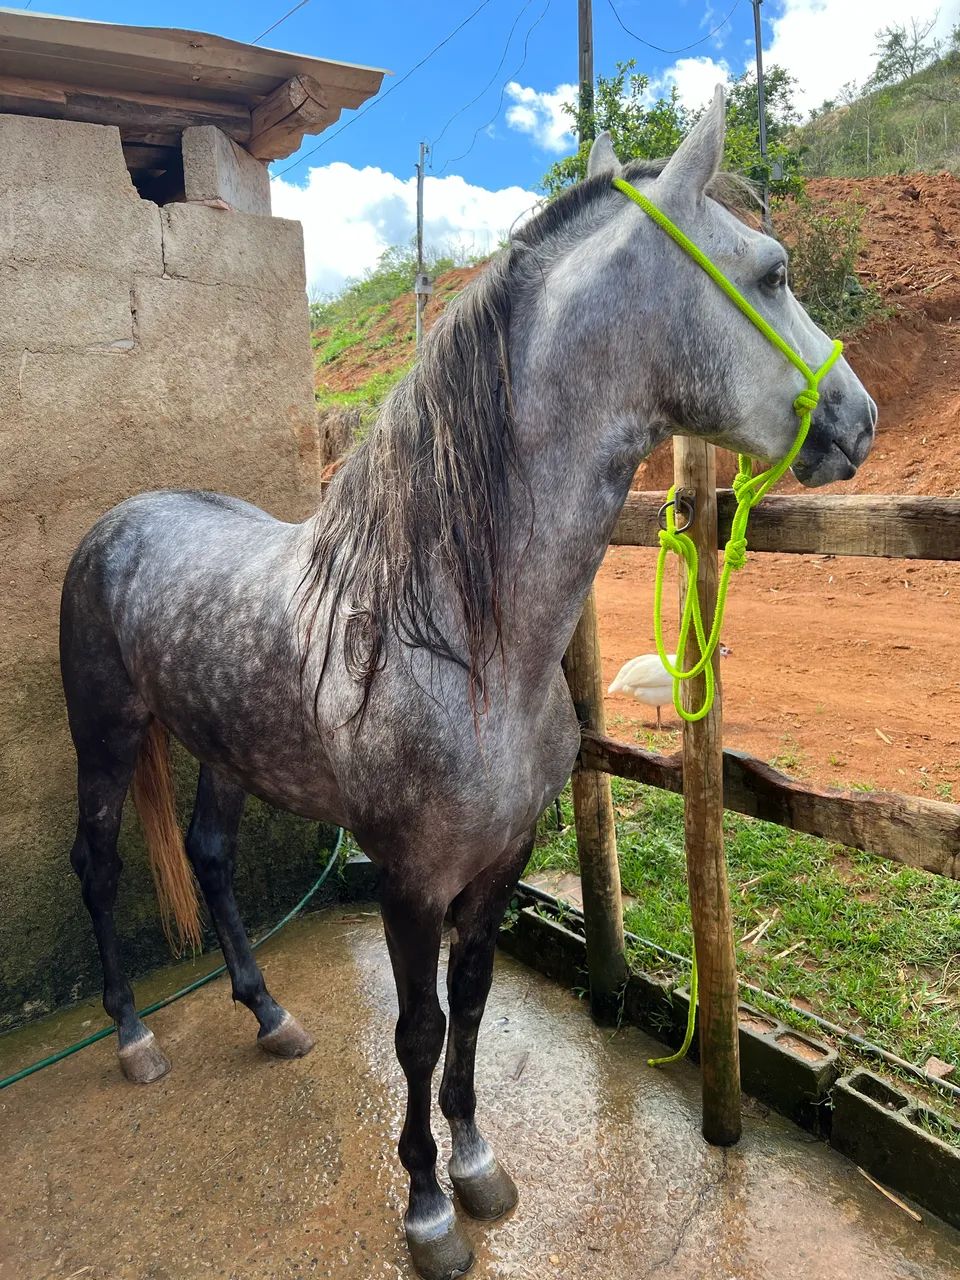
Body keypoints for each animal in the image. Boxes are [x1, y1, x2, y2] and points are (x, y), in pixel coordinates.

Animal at [59, 90, 876, 1280]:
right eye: (771, 273)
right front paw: (426, 1207)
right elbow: (418, 1030)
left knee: (208, 859)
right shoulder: (409, 878)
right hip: (109, 738)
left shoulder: (500, 862)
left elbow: (476, 1009)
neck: (461, 639)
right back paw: (131, 1036)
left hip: (224, 751)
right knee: (103, 866)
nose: (858, 417)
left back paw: (270, 1016)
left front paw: (479, 1164)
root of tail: (114, 526)